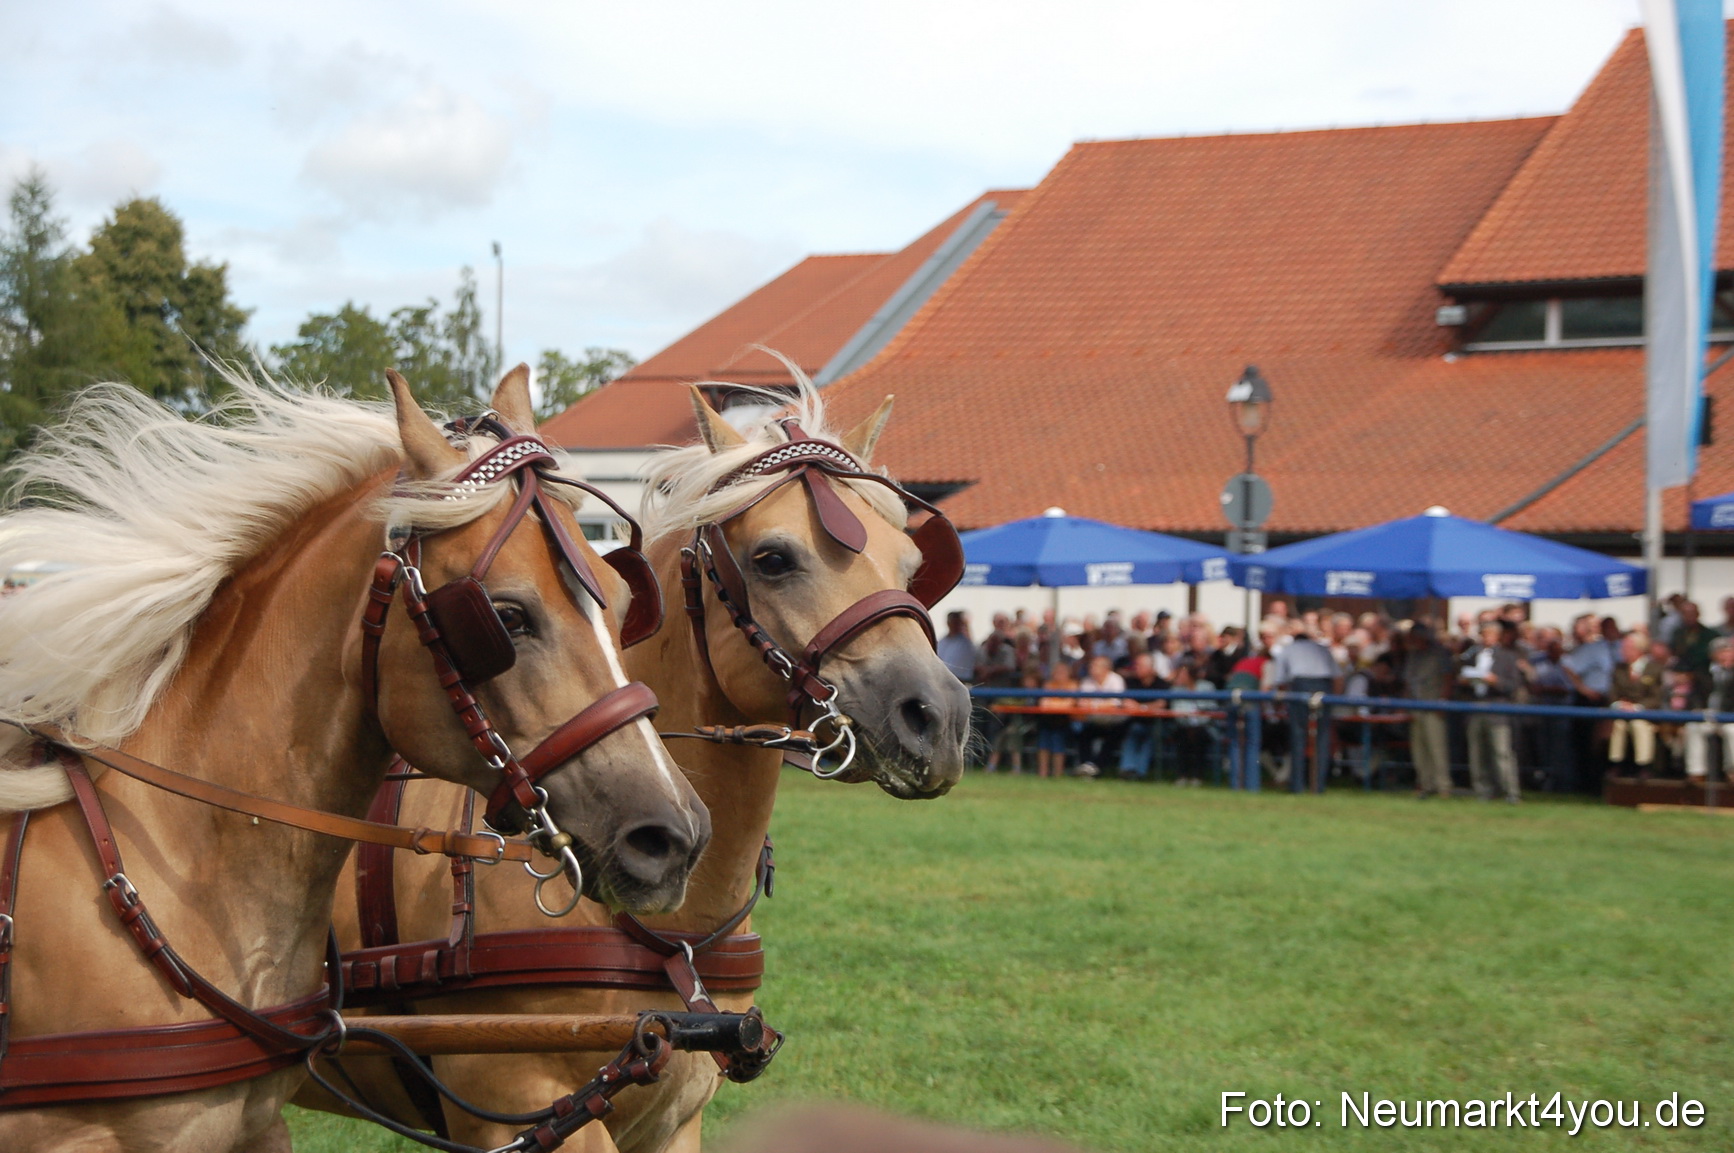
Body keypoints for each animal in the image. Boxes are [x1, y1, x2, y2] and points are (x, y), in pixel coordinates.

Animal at [296, 380, 972, 1150]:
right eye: (773, 558)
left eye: (912, 566)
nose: (938, 717)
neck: (669, 932)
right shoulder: (516, 1102)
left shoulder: (676, 1114)